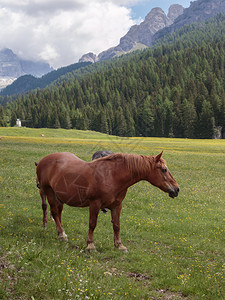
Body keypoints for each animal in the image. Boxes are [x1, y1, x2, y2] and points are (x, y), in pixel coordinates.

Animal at [35, 151, 179, 252]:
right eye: (164, 170)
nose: (177, 189)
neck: (112, 176)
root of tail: (42, 160)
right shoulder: (95, 204)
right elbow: (92, 224)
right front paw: (90, 245)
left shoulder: (117, 205)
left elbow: (116, 225)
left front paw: (119, 246)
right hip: (48, 192)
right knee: (54, 212)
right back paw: (61, 235)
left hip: (59, 196)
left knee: (58, 213)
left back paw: (62, 233)